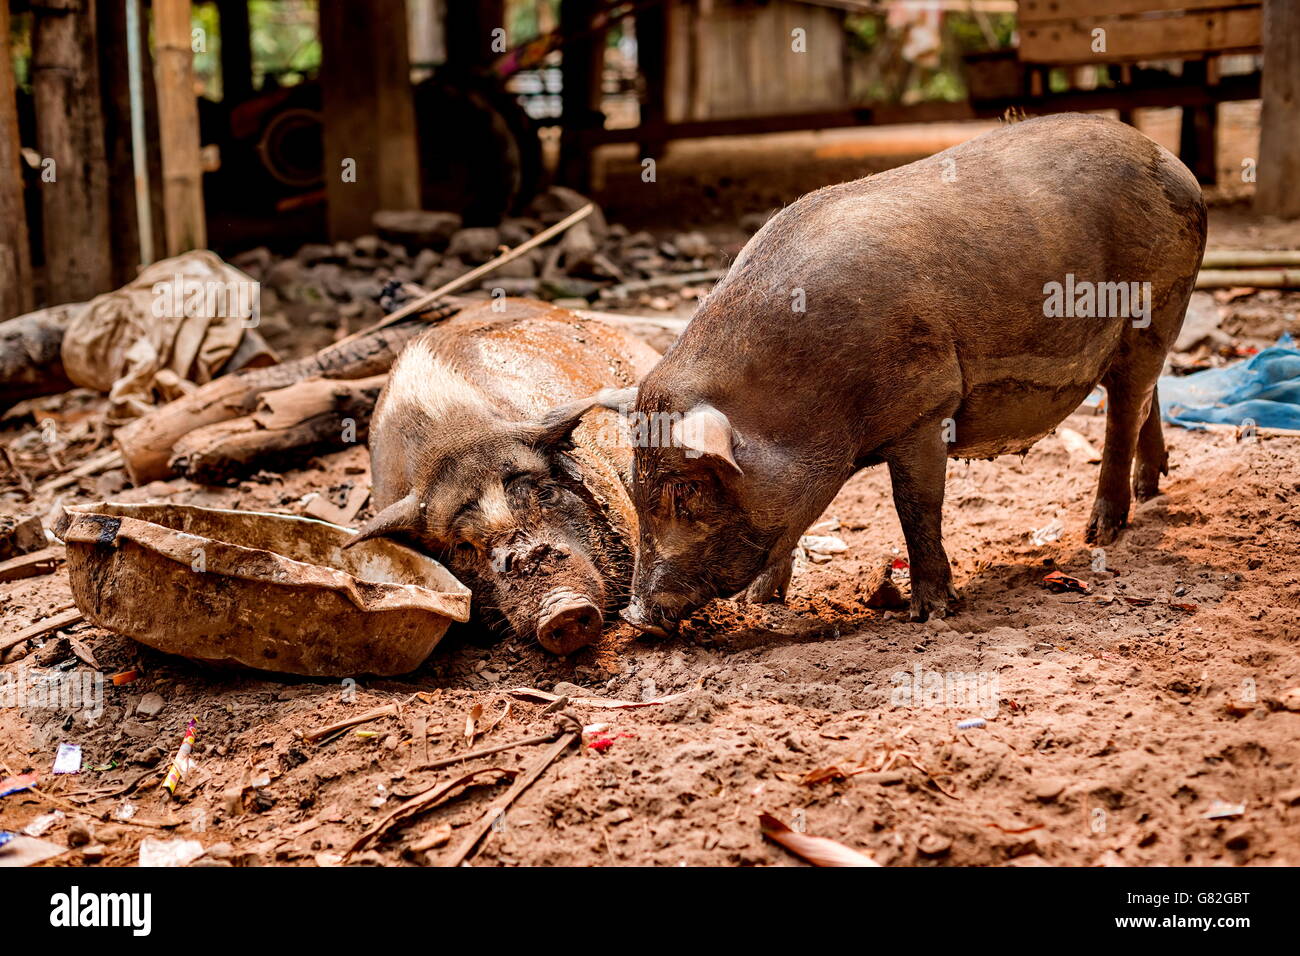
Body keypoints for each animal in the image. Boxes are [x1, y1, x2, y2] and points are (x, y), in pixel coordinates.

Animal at [615, 113, 1206, 634]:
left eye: (684, 491)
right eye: (633, 482)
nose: (635, 615)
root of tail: (1172, 161)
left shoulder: (927, 406)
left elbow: (916, 508)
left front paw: (932, 612)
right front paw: (761, 603)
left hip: (1158, 306)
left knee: (1126, 406)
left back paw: (1101, 533)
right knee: (1145, 396)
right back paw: (1150, 489)